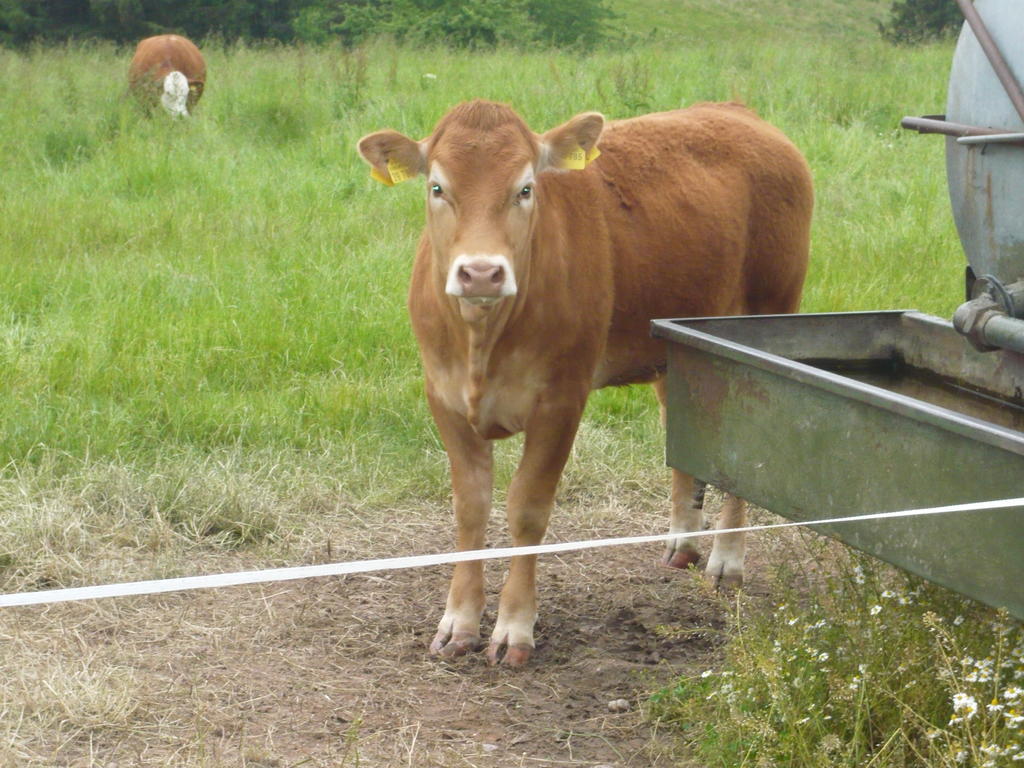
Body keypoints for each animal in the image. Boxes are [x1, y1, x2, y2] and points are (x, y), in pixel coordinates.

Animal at [356, 97, 811, 667]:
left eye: (526, 188)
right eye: (437, 187)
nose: (481, 273)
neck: (483, 341)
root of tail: (734, 110)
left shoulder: (560, 400)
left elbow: (528, 511)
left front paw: (514, 628)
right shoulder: (444, 397)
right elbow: (470, 509)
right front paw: (458, 621)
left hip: (767, 314)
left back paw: (727, 561)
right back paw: (683, 541)